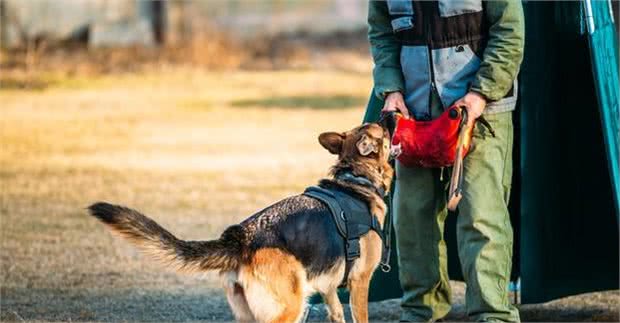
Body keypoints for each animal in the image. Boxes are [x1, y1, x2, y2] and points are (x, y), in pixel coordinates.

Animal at [88, 122, 392, 323]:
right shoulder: (360, 282)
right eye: (384, 132)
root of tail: (239, 238)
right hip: (290, 308)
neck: (356, 177)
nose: (391, 113)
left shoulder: (328, 287)